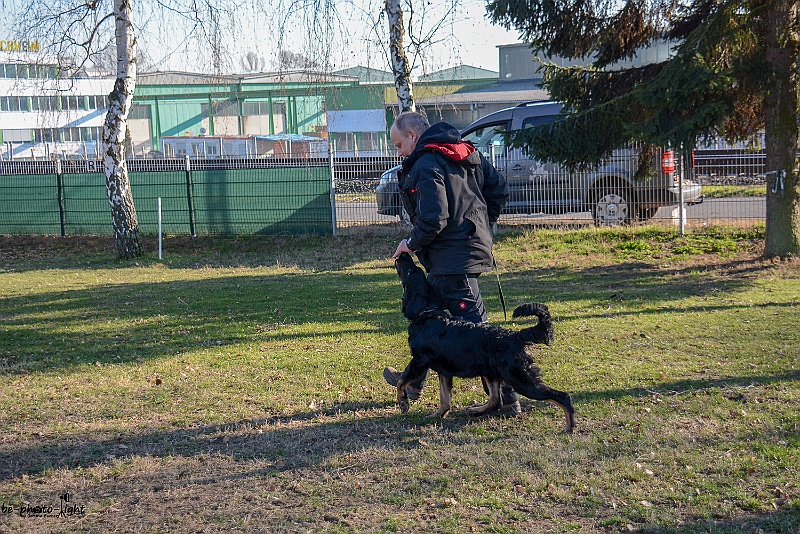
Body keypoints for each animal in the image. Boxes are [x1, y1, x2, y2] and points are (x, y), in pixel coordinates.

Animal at [394, 252, 575, 433]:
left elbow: (402, 381)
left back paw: (569, 427)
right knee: (496, 401)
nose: (404, 254)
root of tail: (516, 336)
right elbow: (445, 399)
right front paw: (437, 415)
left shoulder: (420, 360)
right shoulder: (444, 371)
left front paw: (403, 402)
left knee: (562, 396)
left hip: (520, 379)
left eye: (409, 272)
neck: (427, 314)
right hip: (493, 374)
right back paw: (476, 411)